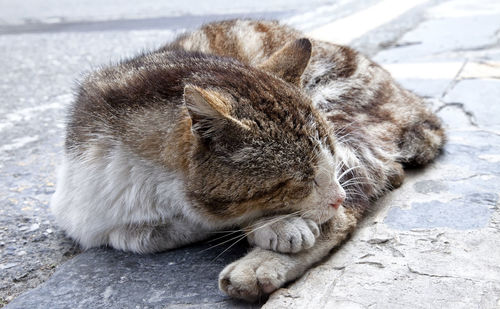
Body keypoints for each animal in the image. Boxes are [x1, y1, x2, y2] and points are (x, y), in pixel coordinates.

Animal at [48, 19, 444, 300]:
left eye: (329, 158)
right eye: (299, 180)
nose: (336, 196)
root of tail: (411, 98)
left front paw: (274, 228)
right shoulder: (85, 210)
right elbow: (139, 237)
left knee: (354, 204)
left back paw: (261, 266)